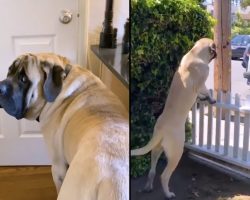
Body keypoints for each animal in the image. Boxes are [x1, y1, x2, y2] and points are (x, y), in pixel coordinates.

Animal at [131, 38, 217, 198]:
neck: (195, 54)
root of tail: (161, 129)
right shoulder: (201, 84)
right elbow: (206, 91)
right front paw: (210, 98)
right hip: (176, 153)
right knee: (164, 176)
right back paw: (168, 194)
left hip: (156, 150)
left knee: (152, 171)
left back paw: (148, 187)